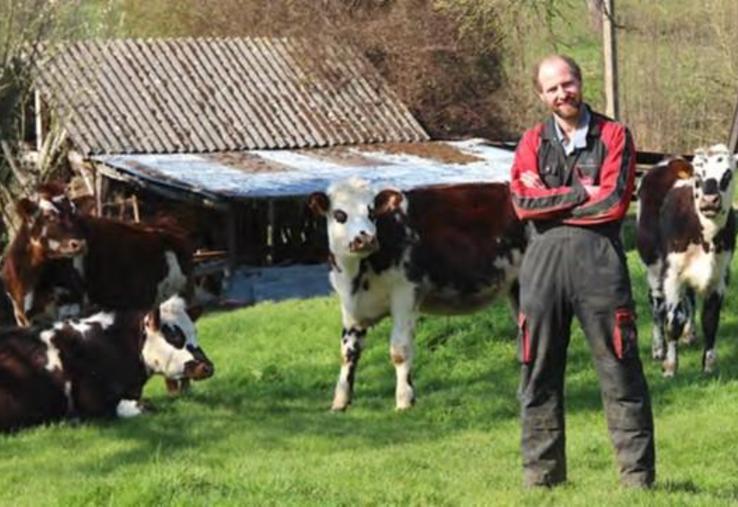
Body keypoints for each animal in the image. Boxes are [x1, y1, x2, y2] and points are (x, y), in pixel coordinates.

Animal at [308, 177, 528, 410]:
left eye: (372, 212)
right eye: (340, 214)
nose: (366, 239)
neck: (356, 275)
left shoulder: (405, 293)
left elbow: (399, 350)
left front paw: (405, 400)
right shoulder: (350, 305)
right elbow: (348, 352)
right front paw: (340, 401)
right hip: (516, 289)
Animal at [636, 143, 732, 378]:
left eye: (728, 174)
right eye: (698, 175)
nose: (709, 201)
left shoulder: (720, 277)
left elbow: (710, 319)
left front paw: (709, 365)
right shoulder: (672, 276)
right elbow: (673, 322)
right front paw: (670, 366)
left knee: (689, 299)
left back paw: (690, 334)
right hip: (654, 268)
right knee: (657, 306)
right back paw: (658, 348)